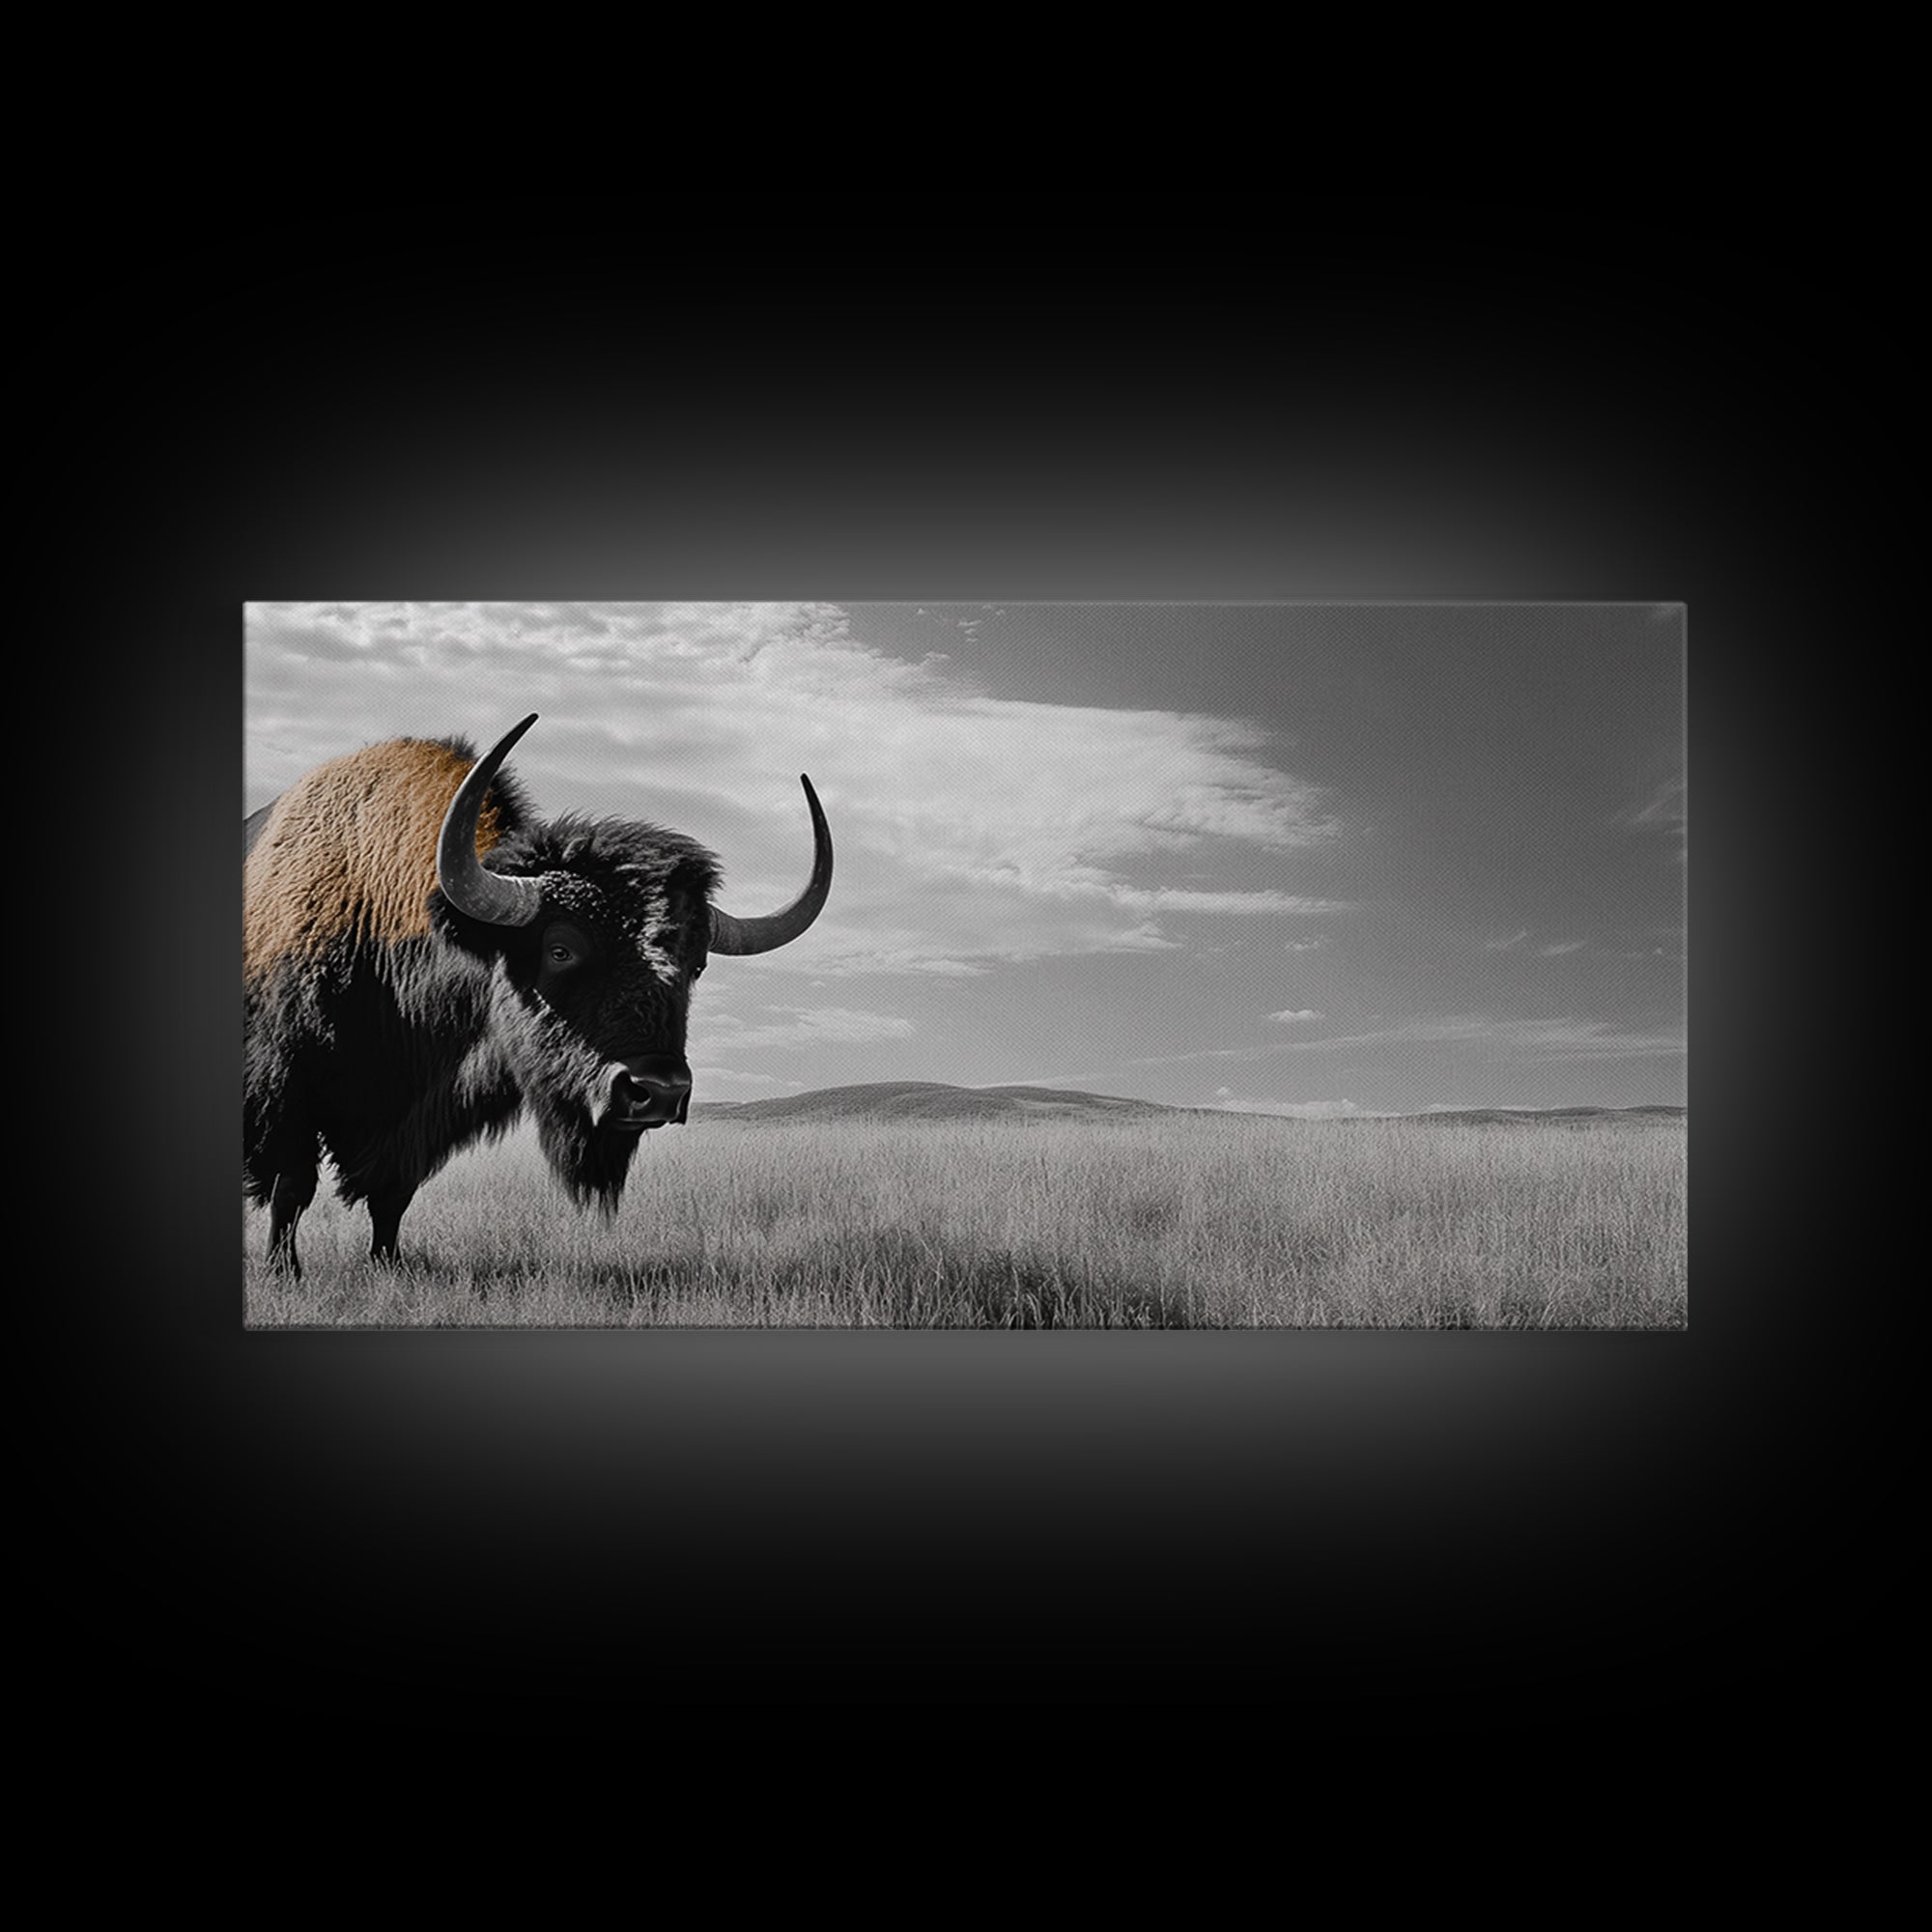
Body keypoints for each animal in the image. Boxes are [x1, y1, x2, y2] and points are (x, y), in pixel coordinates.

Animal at [243, 714, 831, 1276]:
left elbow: (392, 1195)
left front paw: (388, 1263)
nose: (658, 1091)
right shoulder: (286, 1089)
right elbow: (292, 1187)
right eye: (560, 949)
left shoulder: (416, 1123)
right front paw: (285, 1271)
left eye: (698, 963)